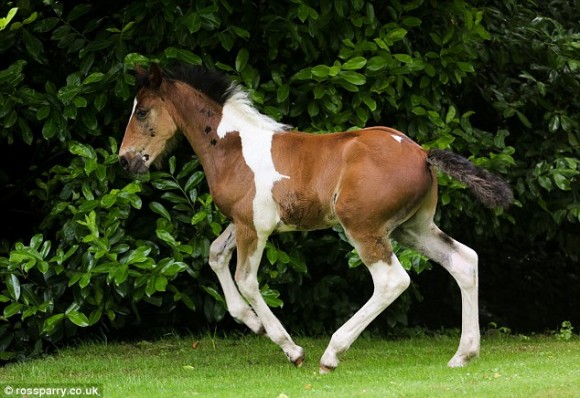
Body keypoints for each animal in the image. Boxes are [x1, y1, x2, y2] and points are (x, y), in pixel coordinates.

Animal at [119, 62, 512, 374]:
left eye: (142, 112)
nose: (124, 160)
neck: (233, 147)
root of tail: (422, 153)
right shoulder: (242, 221)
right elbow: (216, 255)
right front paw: (252, 323)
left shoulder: (254, 227)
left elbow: (246, 279)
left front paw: (291, 349)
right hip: (412, 228)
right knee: (464, 260)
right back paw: (463, 355)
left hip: (364, 228)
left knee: (392, 280)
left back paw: (331, 354)